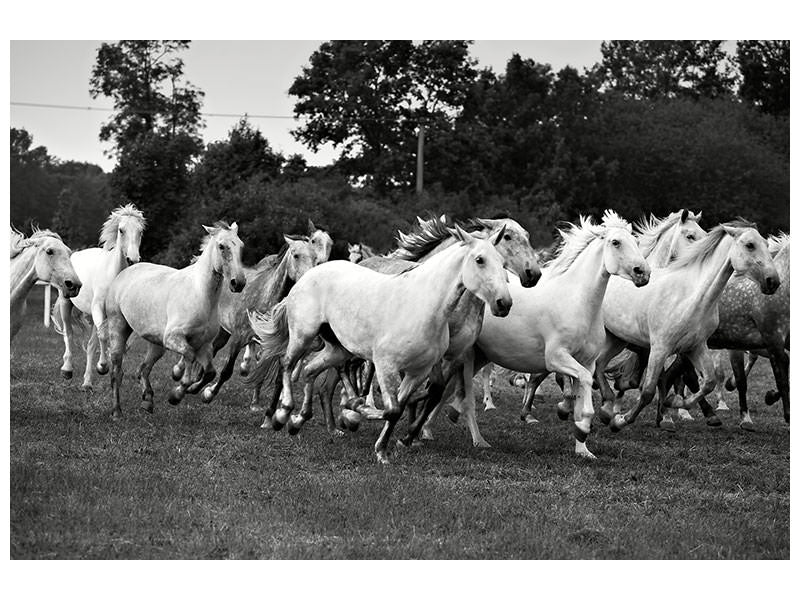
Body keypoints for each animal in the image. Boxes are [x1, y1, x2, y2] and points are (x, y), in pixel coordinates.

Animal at [52, 205, 146, 390]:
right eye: (121, 230)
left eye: (140, 231)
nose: (133, 259)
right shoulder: (98, 308)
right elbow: (104, 337)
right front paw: (102, 366)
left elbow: (117, 343)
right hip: (67, 303)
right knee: (69, 333)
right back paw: (67, 370)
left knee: (90, 345)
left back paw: (87, 383)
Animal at [103, 221, 247, 418]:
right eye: (222, 246)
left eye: (241, 246)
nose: (238, 283)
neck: (201, 295)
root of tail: (125, 272)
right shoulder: (174, 339)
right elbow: (189, 357)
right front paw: (176, 395)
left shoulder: (204, 345)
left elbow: (210, 372)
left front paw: (187, 391)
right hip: (119, 329)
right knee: (117, 371)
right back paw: (117, 412)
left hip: (156, 344)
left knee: (143, 369)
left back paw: (147, 401)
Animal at [248, 225, 512, 464]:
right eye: (479, 260)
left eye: (502, 262)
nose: (504, 303)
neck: (424, 304)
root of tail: (308, 276)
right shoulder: (386, 366)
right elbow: (391, 408)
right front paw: (354, 414)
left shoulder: (418, 372)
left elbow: (400, 408)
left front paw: (382, 450)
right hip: (303, 335)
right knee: (287, 364)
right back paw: (282, 414)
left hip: (338, 349)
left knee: (310, 370)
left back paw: (298, 421)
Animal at [468, 210, 648, 454]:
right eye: (616, 242)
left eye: (636, 242)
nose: (643, 273)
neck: (578, 303)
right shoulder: (556, 358)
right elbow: (580, 386)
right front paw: (574, 418)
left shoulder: (587, 362)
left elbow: (581, 398)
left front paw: (583, 448)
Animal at [592, 220, 780, 432]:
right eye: (750, 245)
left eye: (766, 243)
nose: (773, 282)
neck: (691, 297)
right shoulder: (660, 348)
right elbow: (648, 390)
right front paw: (621, 421)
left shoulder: (695, 346)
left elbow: (708, 382)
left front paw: (675, 403)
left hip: (617, 339)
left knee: (599, 365)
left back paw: (606, 410)